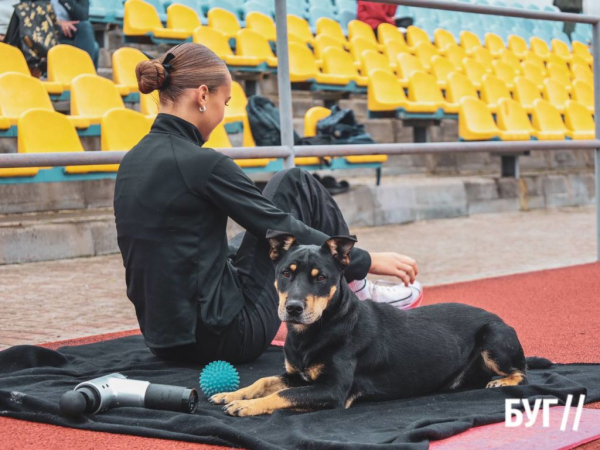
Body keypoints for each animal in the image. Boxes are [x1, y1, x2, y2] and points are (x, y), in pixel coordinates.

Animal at [210, 234, 524, 416]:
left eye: (321, 277)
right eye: (286, 273)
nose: (294, 308)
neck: (319, 328)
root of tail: (500, 319)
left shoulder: (332, 390)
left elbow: (283, 394)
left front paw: (246, 405)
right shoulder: (299, 375)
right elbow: (265, 381)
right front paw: (231, 394)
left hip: (493, 338)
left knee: (521, 371)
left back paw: (501, 381)